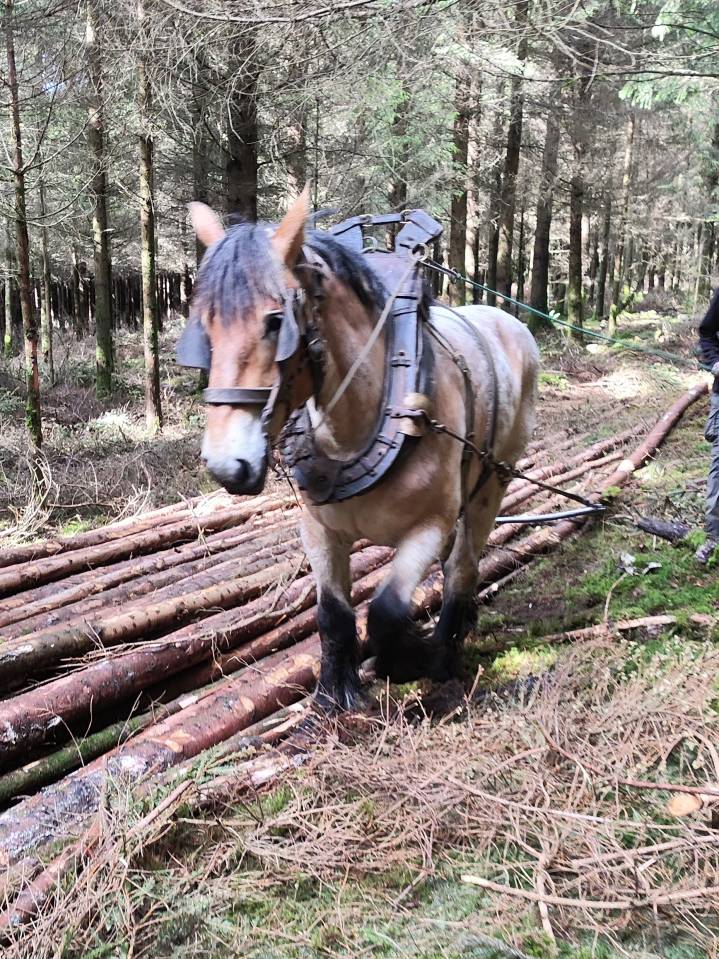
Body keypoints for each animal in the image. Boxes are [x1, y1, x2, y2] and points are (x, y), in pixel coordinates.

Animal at [185, 190, 539, 713]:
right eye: (205, 326)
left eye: (276, 322)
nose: (228, 465)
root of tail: (510, 321)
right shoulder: (319, 528)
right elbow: (333, 613)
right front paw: (335, 692)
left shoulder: (429, 524)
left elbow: (387, 611)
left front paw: (414, 657)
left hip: (494, 479)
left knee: (463, 562)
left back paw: (448, 644)